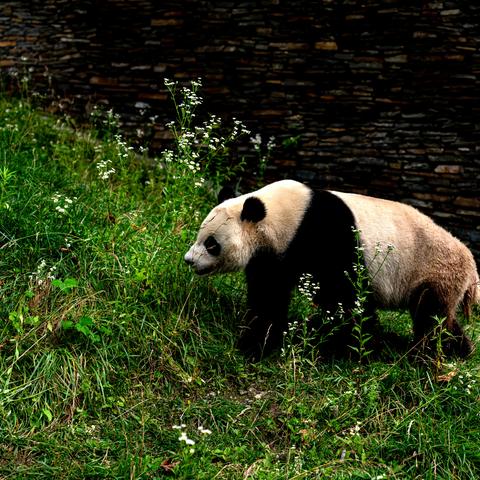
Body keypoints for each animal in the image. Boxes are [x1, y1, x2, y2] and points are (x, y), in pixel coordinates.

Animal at [183, 180, 476, 360]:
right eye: (200, 235)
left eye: (211, 243)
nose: (189, 260)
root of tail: (472, 267)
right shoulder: (274, 255)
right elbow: (268, 295)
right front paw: (259, 339)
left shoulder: (328, 234)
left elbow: (345, 296)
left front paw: (348, 345)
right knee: (441, 317)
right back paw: (461, 349)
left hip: (435, 270)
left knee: (429, 316)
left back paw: (424, 354)